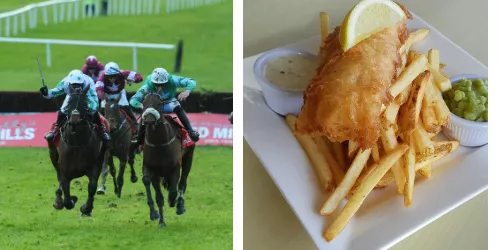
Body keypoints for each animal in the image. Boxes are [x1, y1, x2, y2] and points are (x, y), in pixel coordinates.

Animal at [47, 84, 106, 217]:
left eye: (84, 102)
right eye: (69, 101)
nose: (74, 118)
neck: (76, 143)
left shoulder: (96, 164)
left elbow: (92, 187)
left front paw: (86, 209)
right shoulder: (64, 169)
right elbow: (66, 195)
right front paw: (70, 199)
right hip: (53, 153)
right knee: (58, 176)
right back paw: (58, 200)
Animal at [141, 91, 197, 227]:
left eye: (158, 103)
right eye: (143, 103)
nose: (148, 122)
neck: (159, 144)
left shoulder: (175, 168)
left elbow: (173, 191)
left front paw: (173, 202)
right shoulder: (151, 169)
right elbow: (157, 195)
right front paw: (157, 217)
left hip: (189, 157)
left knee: (182, 182)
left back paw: (179, 205)